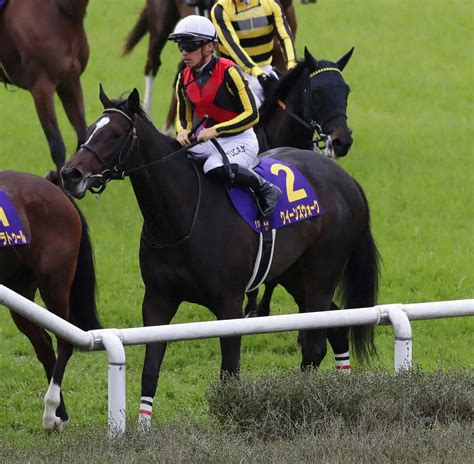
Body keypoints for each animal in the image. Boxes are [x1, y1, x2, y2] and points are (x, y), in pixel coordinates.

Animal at [0, 169, 100, 432]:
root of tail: (54, 187)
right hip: (20, 294)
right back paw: (59, 414)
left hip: (54, 285)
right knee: (44, 345)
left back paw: (51, 412)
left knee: (64, 339)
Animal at [61, 88, 380, 432]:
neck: (183, 217)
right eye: (90, 129)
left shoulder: (230, 304)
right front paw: (142, 430)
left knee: (315, 344)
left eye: (115, 135)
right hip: (294, 277)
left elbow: (229, 373)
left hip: (322, 274)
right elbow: (150, 370)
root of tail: (346, 180)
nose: (70, 174)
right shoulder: (158, 299)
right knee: (336, 329)